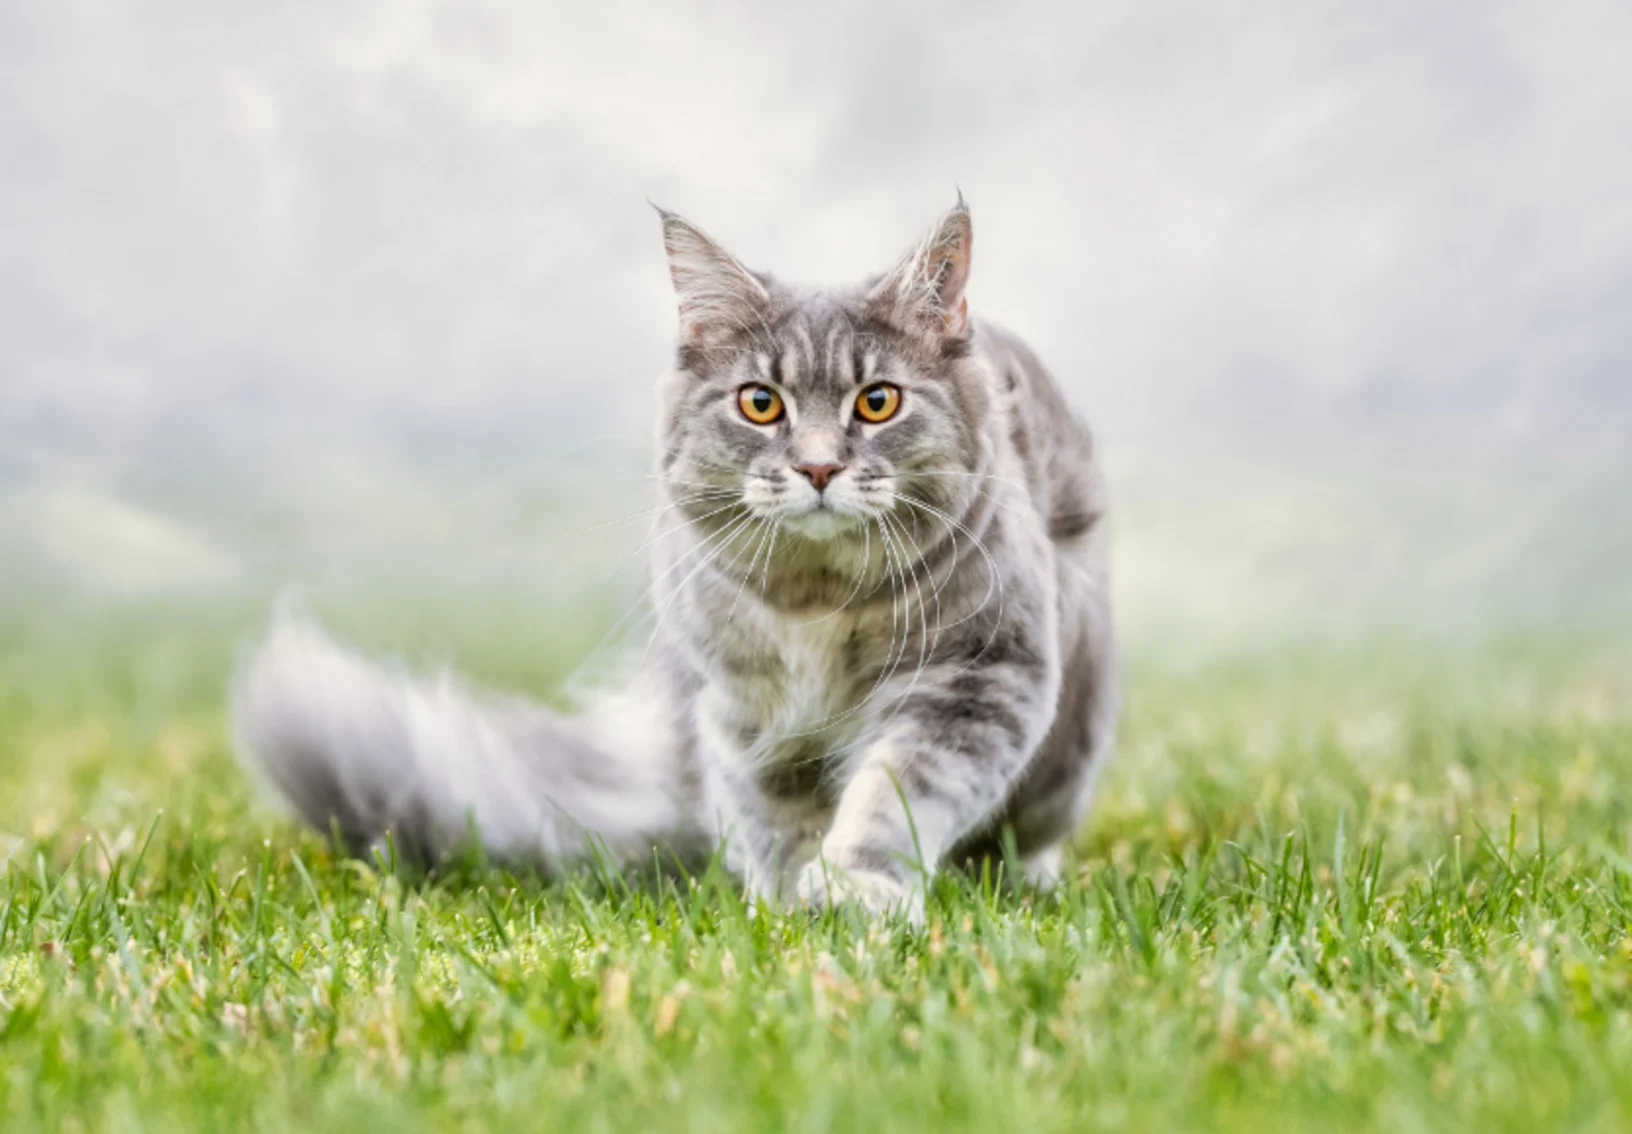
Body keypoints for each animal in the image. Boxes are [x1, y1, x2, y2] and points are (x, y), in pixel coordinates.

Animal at [230, 199, 1116, 920]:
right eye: (760, 403)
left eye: (877, 402)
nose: (818, 468)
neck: (818, 604)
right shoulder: (750, 715)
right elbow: (783, 820)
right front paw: (787, 907)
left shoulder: (978, 676)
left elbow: (892, 792)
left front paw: (856, 890)